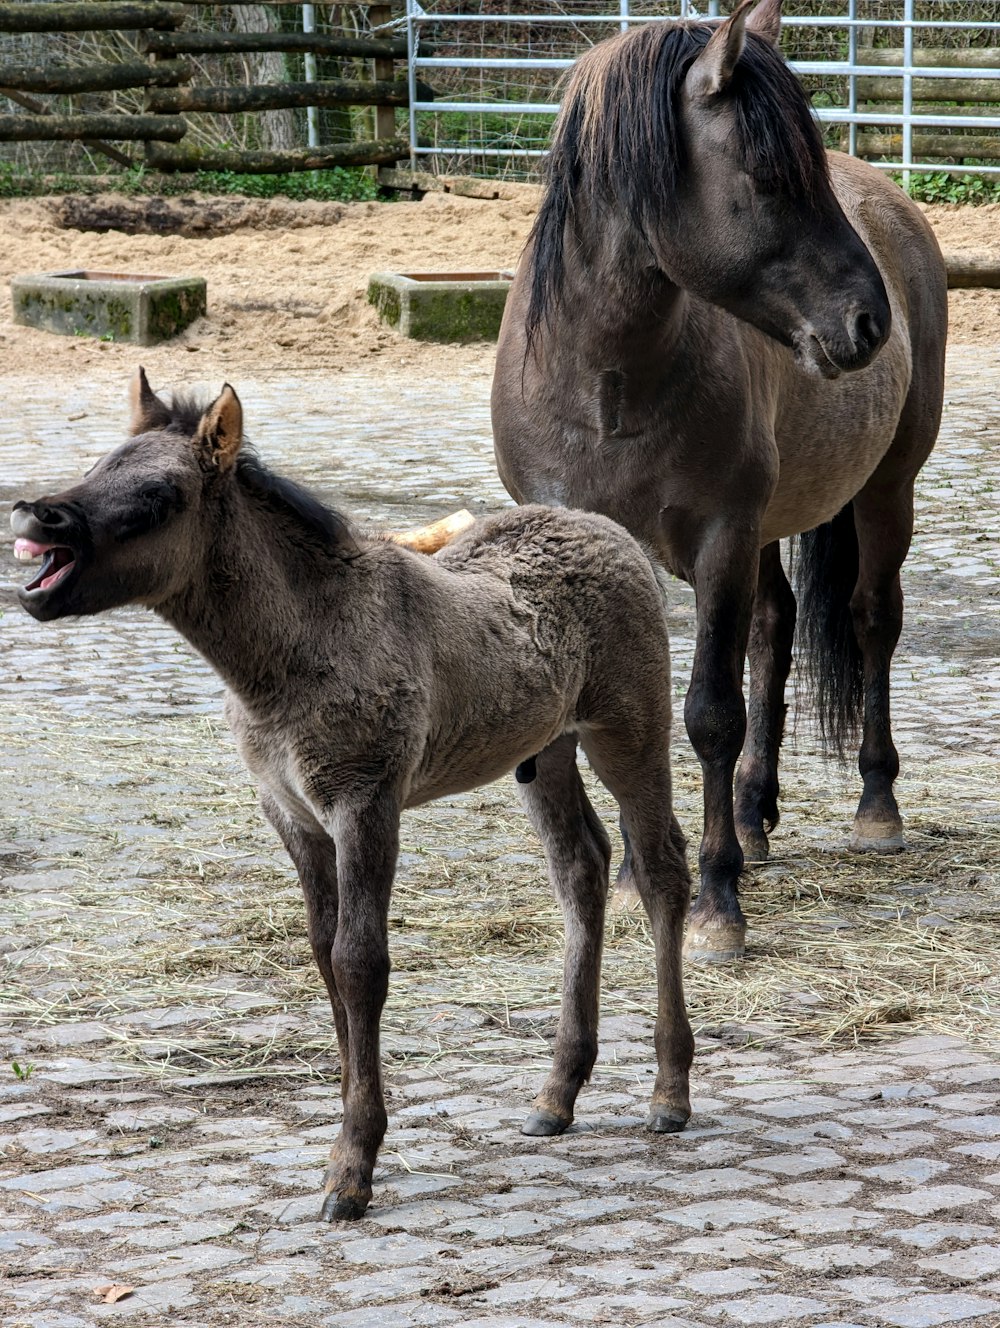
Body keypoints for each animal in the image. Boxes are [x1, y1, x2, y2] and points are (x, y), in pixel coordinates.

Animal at [11, 371, 695, 1221]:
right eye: (99, 465)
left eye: (158, 496)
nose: (36, 515)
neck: (296, 649)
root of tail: (611, 531)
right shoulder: (292, 815)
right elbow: (324, 955)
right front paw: (349, 1140)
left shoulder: (366, 801)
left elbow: (361, 961)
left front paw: (352, 1168)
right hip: (544, 751)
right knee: (582, 869)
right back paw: (556, 1095)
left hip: (627, 729)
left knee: (661, 869)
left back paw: (670, 1092)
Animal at [491, 0, 945, 961]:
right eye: (769, 178)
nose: (870, 320)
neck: (608, 383)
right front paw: (638, 877)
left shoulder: (720, 541)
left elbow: (709, 714)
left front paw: (713, 903)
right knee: (774, 635)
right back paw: (754, 813)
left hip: (885, 491)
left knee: (871, 622)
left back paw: (874, 806)